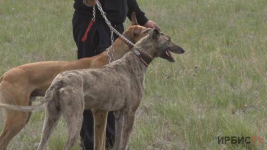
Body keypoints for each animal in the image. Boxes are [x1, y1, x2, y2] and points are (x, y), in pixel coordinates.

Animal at [0, 28, 185, 150]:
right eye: (169, 39)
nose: (183, 49)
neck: (134, 60)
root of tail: (60, 80)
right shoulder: (128, 113)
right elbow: (122, 143)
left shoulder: (118, 114)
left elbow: (118, 143)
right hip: (72, 120)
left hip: (50, 119)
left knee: (41, 144)